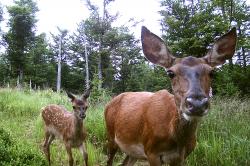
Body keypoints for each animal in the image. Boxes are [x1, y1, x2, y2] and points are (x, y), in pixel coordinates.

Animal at [105, 26, 236, 165]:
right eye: (171, 73)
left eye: (211, 72)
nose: (197, 104)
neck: (177, 140)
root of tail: (109, 103)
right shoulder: (151, 151)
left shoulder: (181, 157)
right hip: (111, 135)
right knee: (109, 160)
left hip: (132, 151)